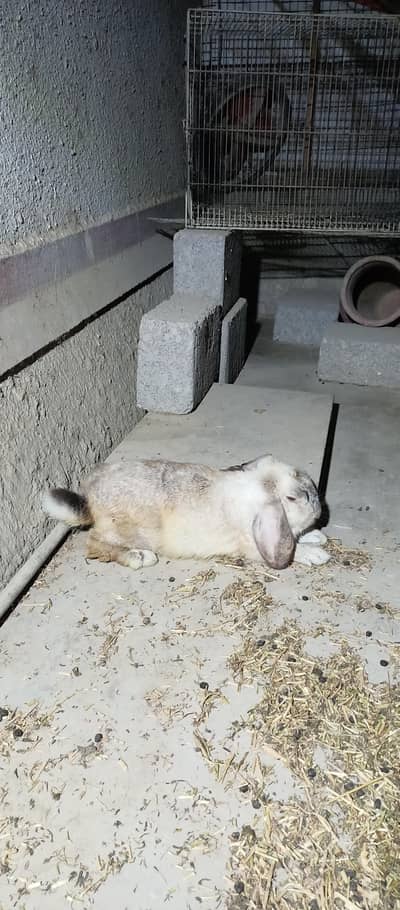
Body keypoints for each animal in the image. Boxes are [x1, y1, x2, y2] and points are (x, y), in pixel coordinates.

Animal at [42, 454, 330, 572]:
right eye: (292, 498)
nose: (316, 497)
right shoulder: (252, 545)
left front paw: (317, 537)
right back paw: (140, 557)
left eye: (298, 473)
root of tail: (89, 499)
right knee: (95, 545)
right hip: (119, 532)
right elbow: (292, 549)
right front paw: (317, 555)